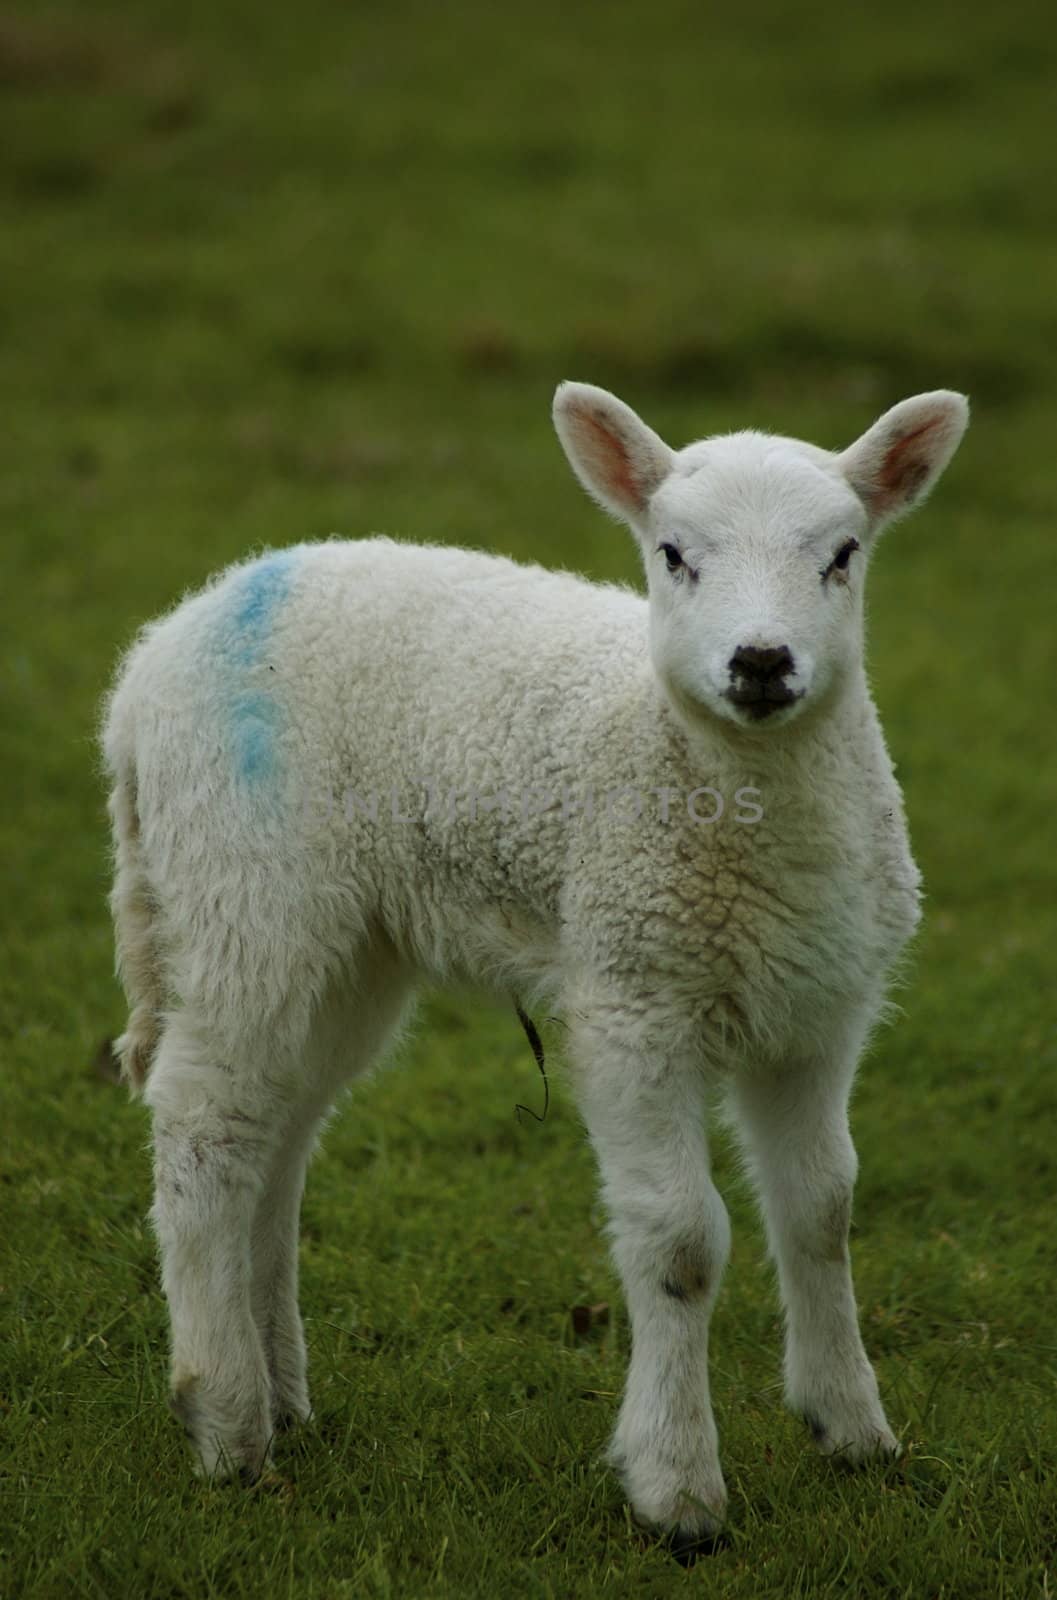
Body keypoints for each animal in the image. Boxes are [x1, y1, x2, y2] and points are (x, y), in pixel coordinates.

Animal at [104, 384, 965, 1561]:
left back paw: (279, 1388)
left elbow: (822, 1210)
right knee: (203, 1124)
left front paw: (852, 1428)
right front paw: (677, 1488)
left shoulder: (818, 1011)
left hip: (346, 941)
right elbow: (682, 1240)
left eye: (843, 554)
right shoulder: (633, 997)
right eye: (671, 555)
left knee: (273, 1135)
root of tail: (159, 652)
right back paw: (226, 1420)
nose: (759, 662)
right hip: (246, 888)